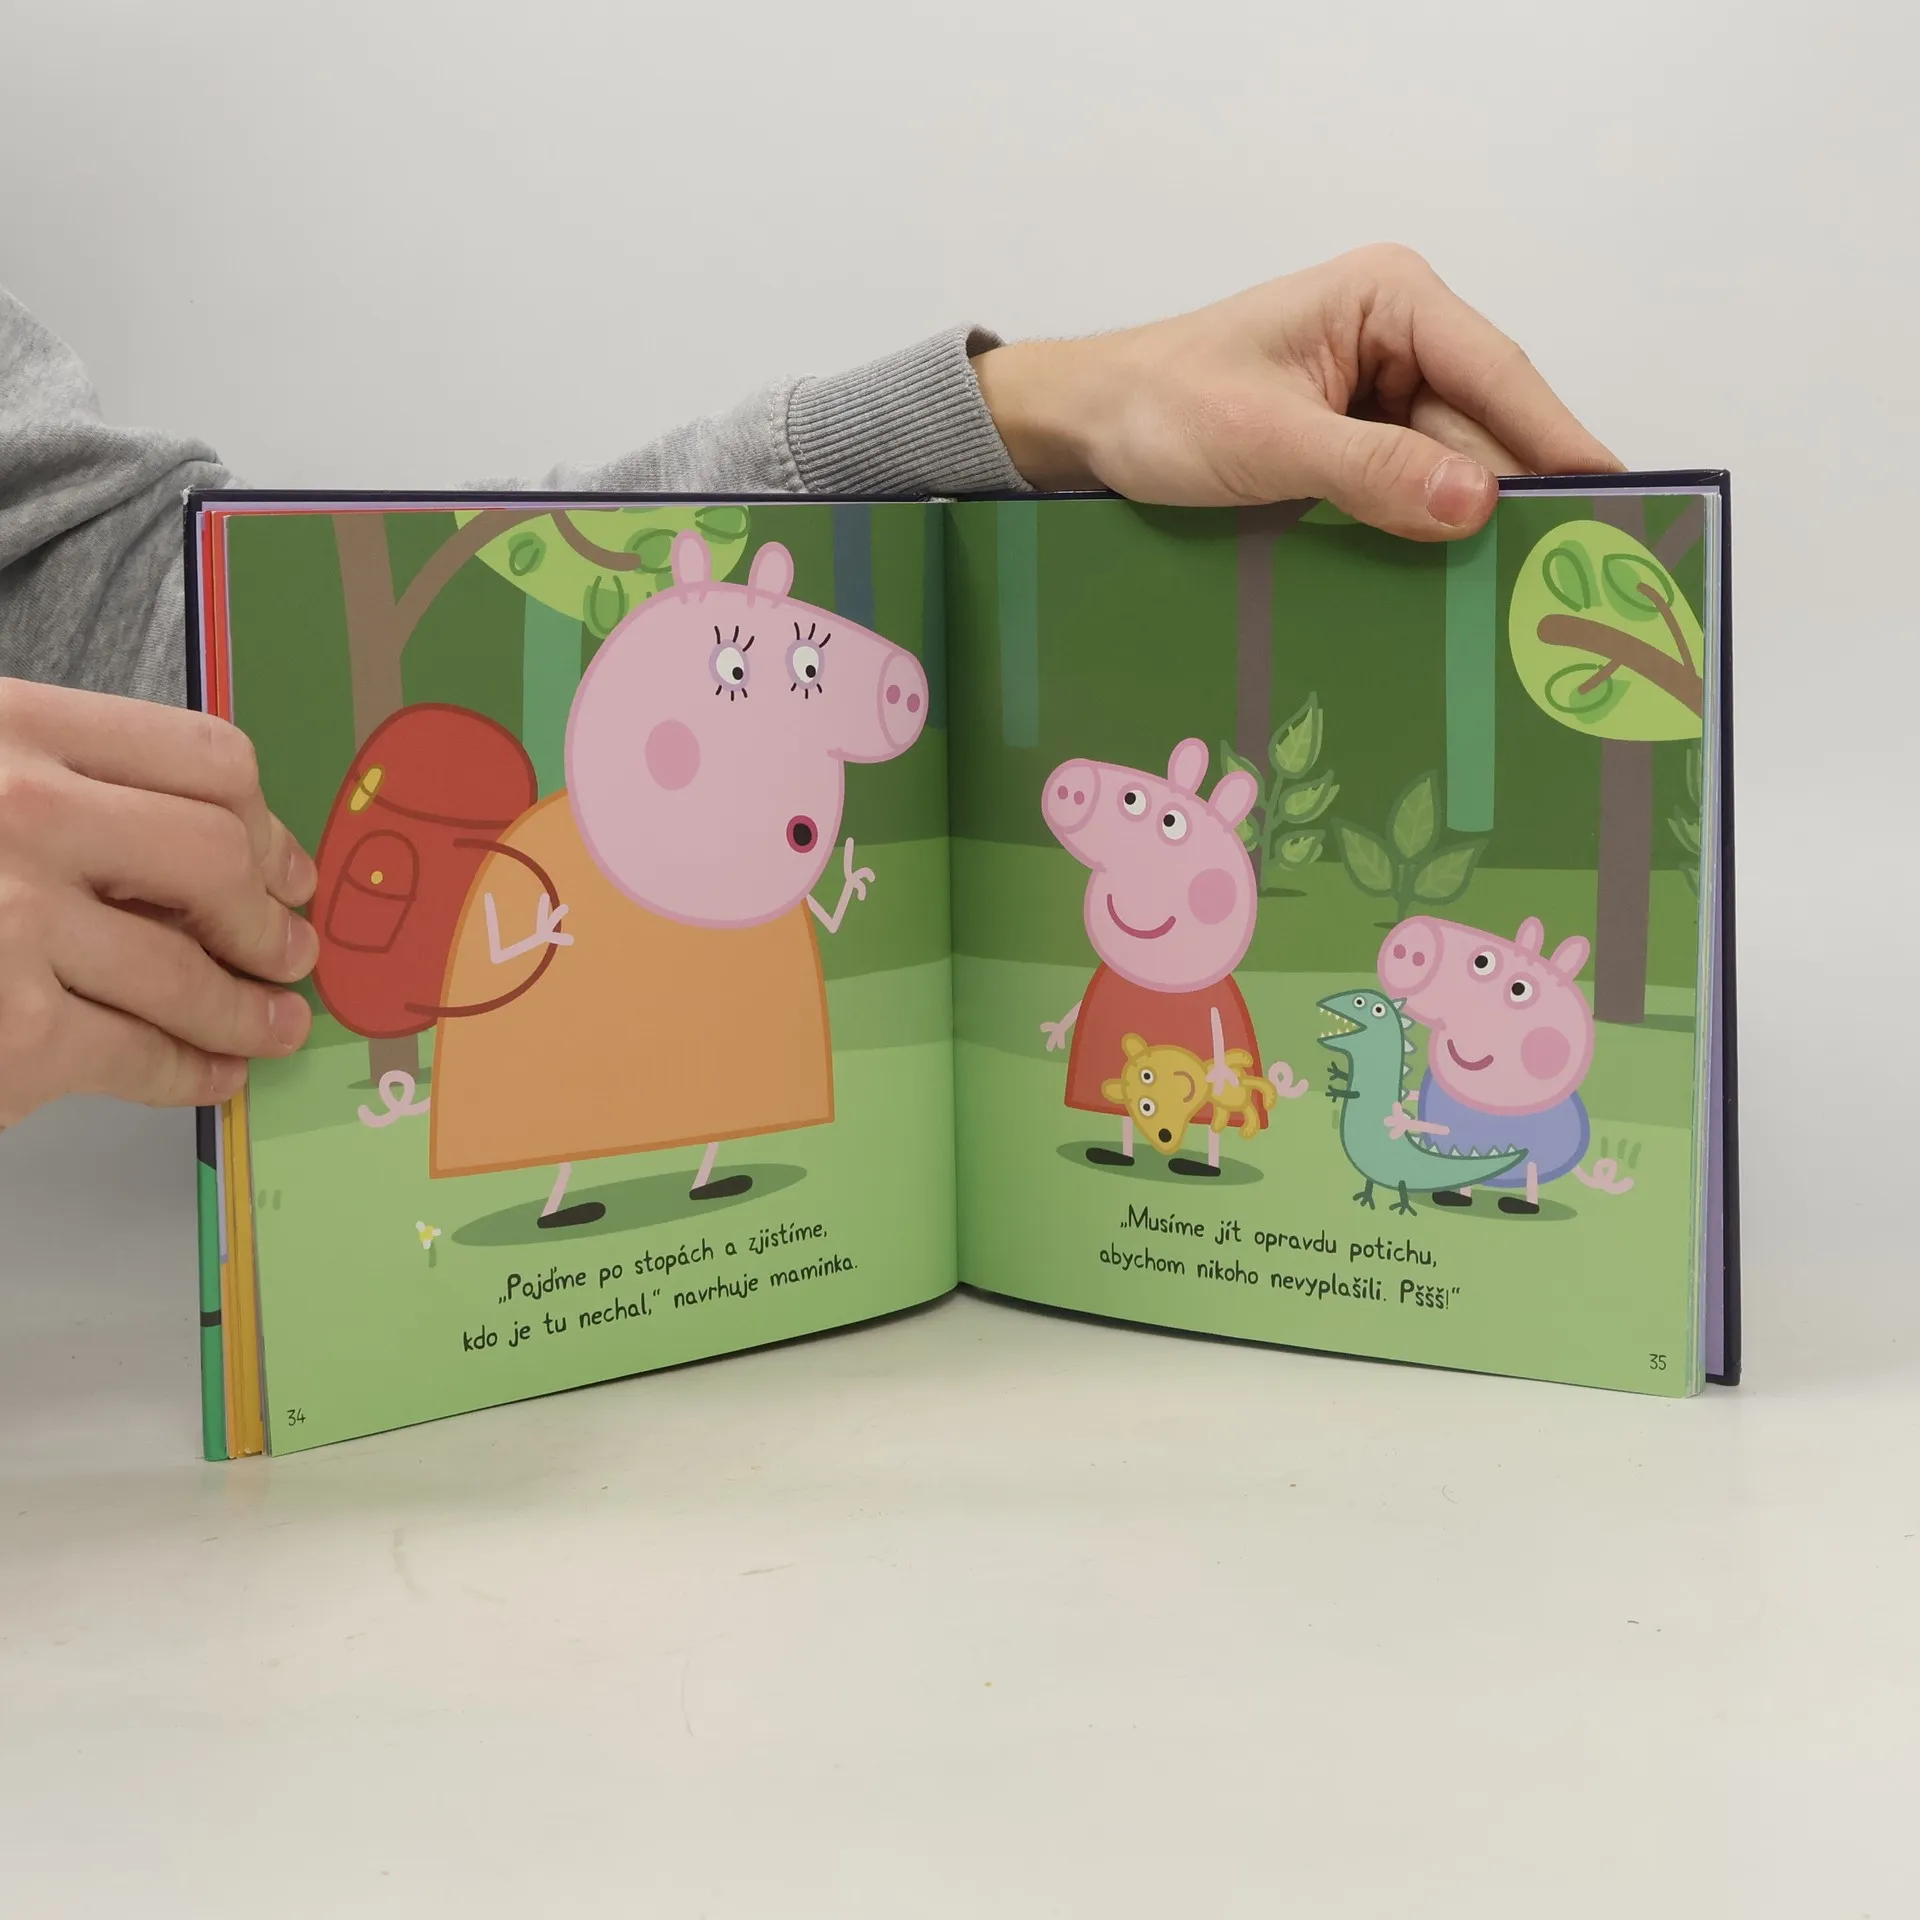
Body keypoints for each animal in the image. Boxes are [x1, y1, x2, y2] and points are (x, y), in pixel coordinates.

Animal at [427, 530, 928, 1228]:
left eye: (808, 662)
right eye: (735, 670)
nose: (908, 687)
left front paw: (851, 877)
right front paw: (543, 929)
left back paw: (711, 1184)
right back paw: (565, 1212)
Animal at [1040, 737, 1305, 1176]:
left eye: (1170, 822)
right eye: (1132, 799)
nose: (1069, 785)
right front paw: (1055, 1034)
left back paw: (1202, 1167)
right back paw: (1119, 1156)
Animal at [1376, 914, 1595, 1213]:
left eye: (1519, 989)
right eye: (1482, 962)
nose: (1413, 945)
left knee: (1531, 1173)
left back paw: (1521, 1205)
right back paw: (1456, 1197)